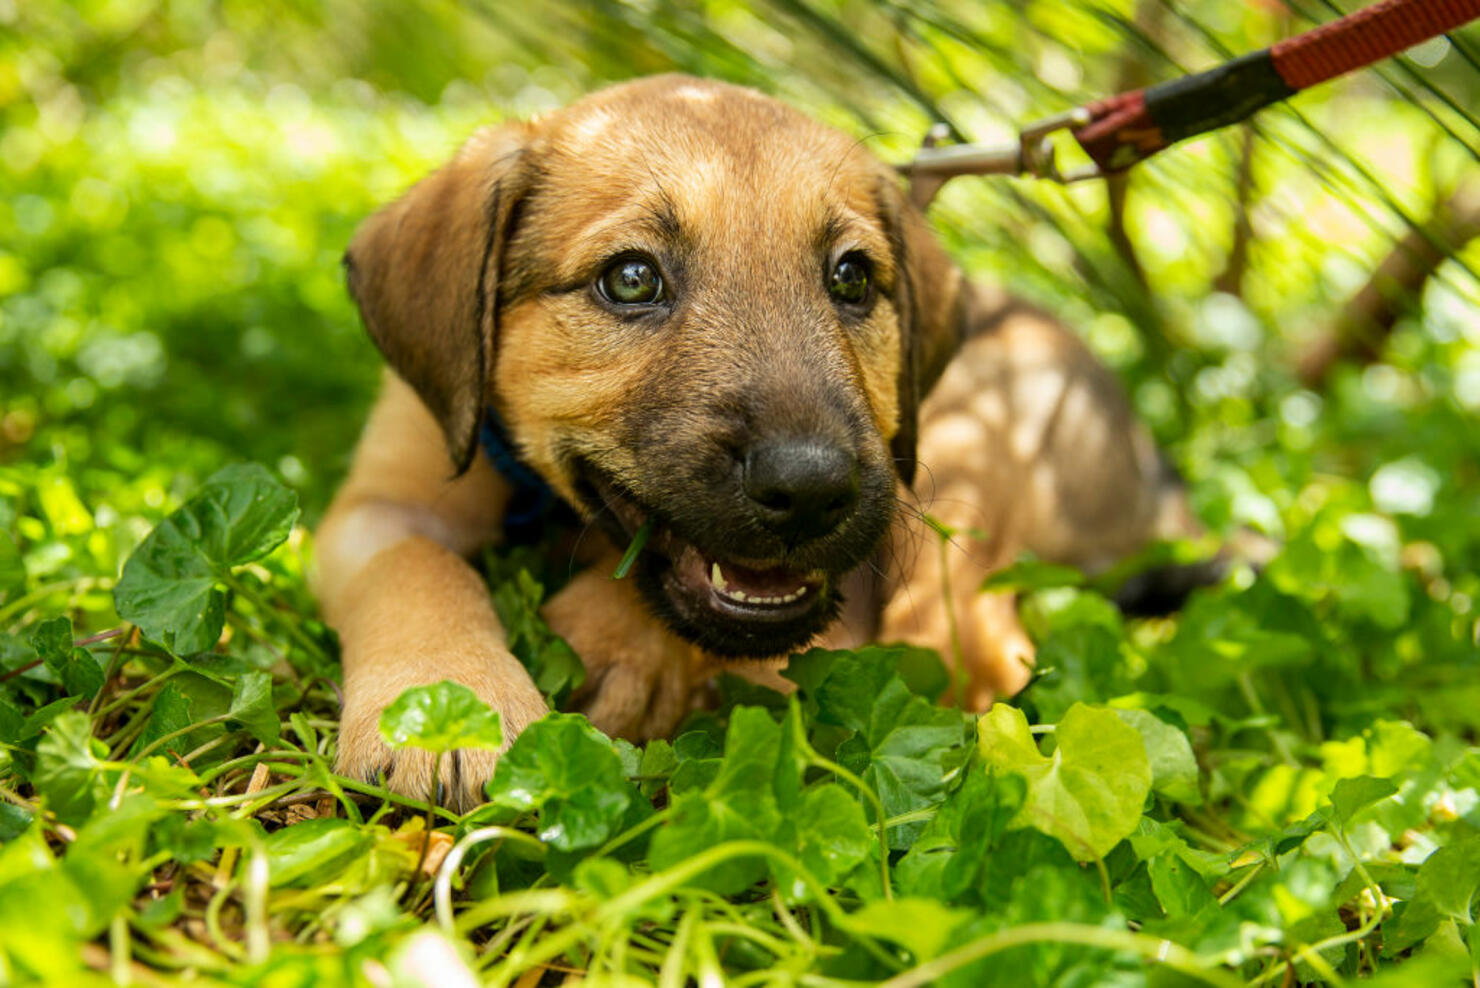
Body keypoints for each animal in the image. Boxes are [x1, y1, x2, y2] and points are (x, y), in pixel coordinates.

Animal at [315, 73, 1201, 804]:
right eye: (630, 278)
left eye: (851, 277)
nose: (810, 490)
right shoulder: (379, 504)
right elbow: (418, 569)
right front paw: (448, 708)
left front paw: (613, 644)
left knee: (968, 654)